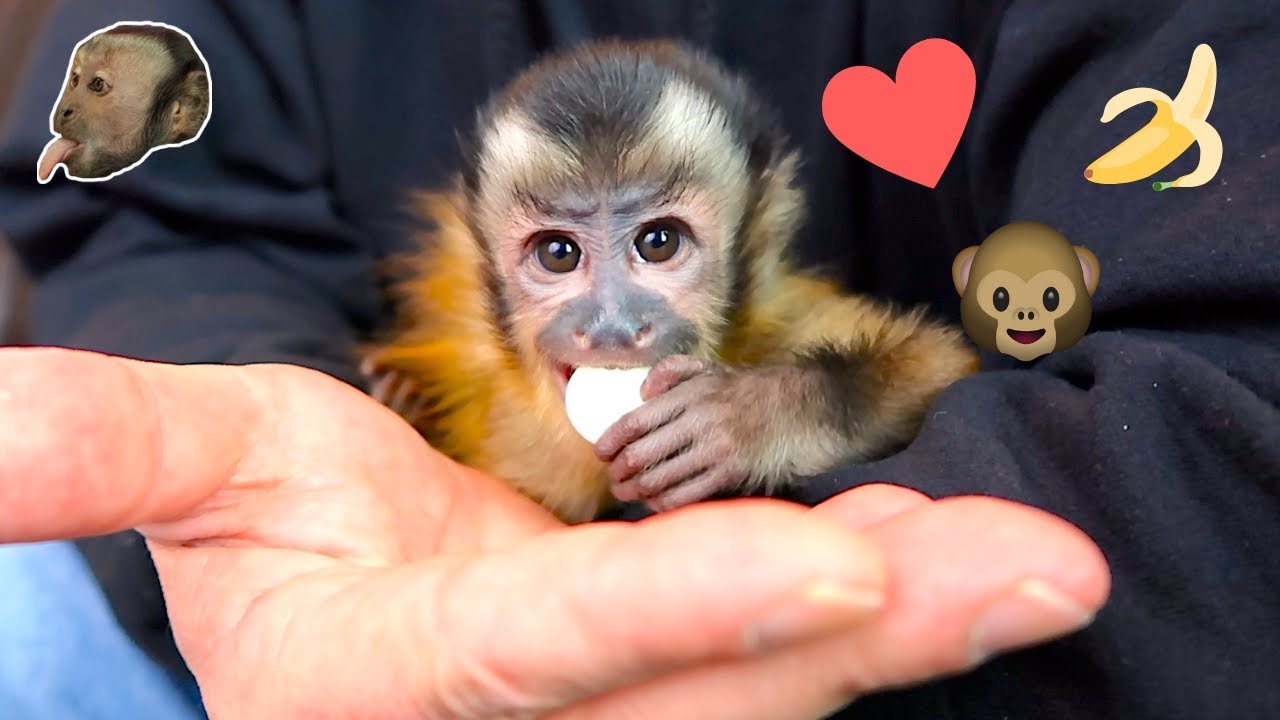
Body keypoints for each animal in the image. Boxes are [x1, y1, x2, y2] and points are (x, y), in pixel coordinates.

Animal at [362, 39, 980, 524]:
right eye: (558, 253)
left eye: (659, 242)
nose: (612, 327)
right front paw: (407, 398)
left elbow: (941, 367)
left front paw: (748, 417)